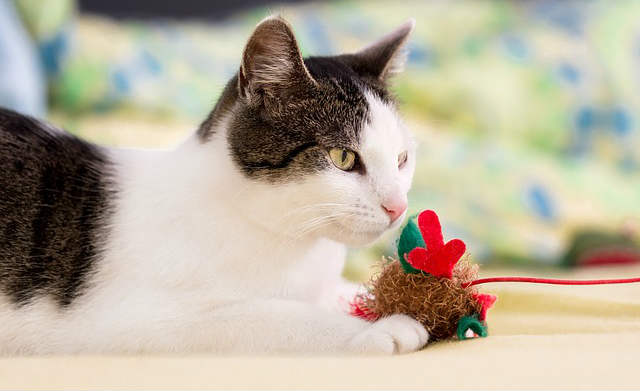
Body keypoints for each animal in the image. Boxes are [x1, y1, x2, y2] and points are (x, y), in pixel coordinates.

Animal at [1, 16, 430, 356]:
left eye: (402, 158)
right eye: (343, 157)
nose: (398, 206)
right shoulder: (135, 320)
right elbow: (271, 315)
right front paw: (380, 328)